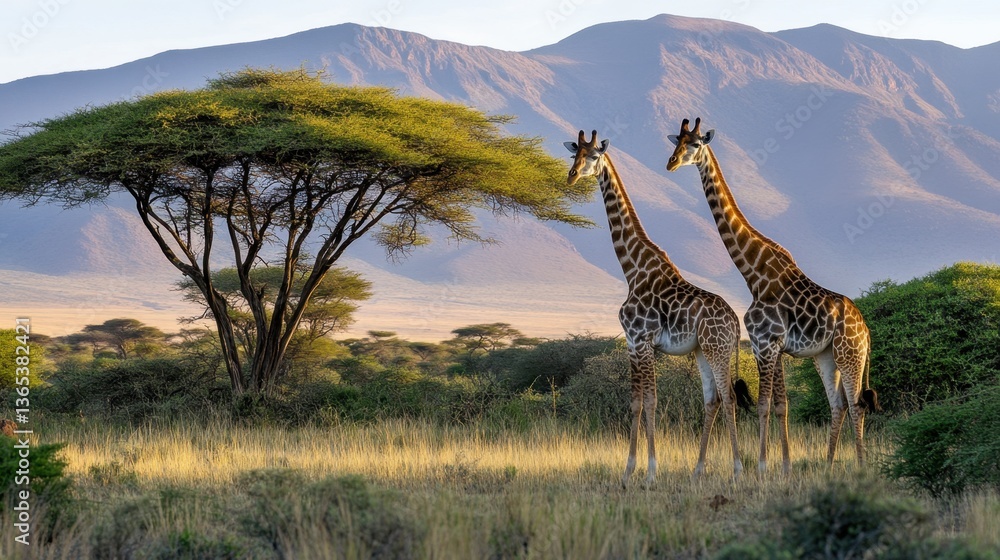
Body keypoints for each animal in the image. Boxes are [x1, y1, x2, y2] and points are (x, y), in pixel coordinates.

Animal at [565, 130, 744, 485]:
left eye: (593, 156)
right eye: (573, 155)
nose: (572, 175)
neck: (632, 268)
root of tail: (735, 322)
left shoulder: (642, 340)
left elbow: (650, 401)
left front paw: (649, 471)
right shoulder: (632, 344)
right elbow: (635, 402)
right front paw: (628, 470)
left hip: (717, 349)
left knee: (728, 396)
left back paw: (737, 470)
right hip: (702, 351)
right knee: (713, 399)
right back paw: (698, 470)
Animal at [665, 118, 880, 474]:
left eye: (694, 144)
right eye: (676, 142)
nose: (670, 163)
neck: (753, 272)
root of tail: (866, 331)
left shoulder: (764, 343)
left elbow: (765, 404)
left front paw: (763, 467)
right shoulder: (773, 346)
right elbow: (781, 404)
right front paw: (784, 467)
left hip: (850, 354)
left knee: (856, 404)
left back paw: (861, 468)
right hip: (825, 356)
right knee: (838, 405)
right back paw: (828, 466)